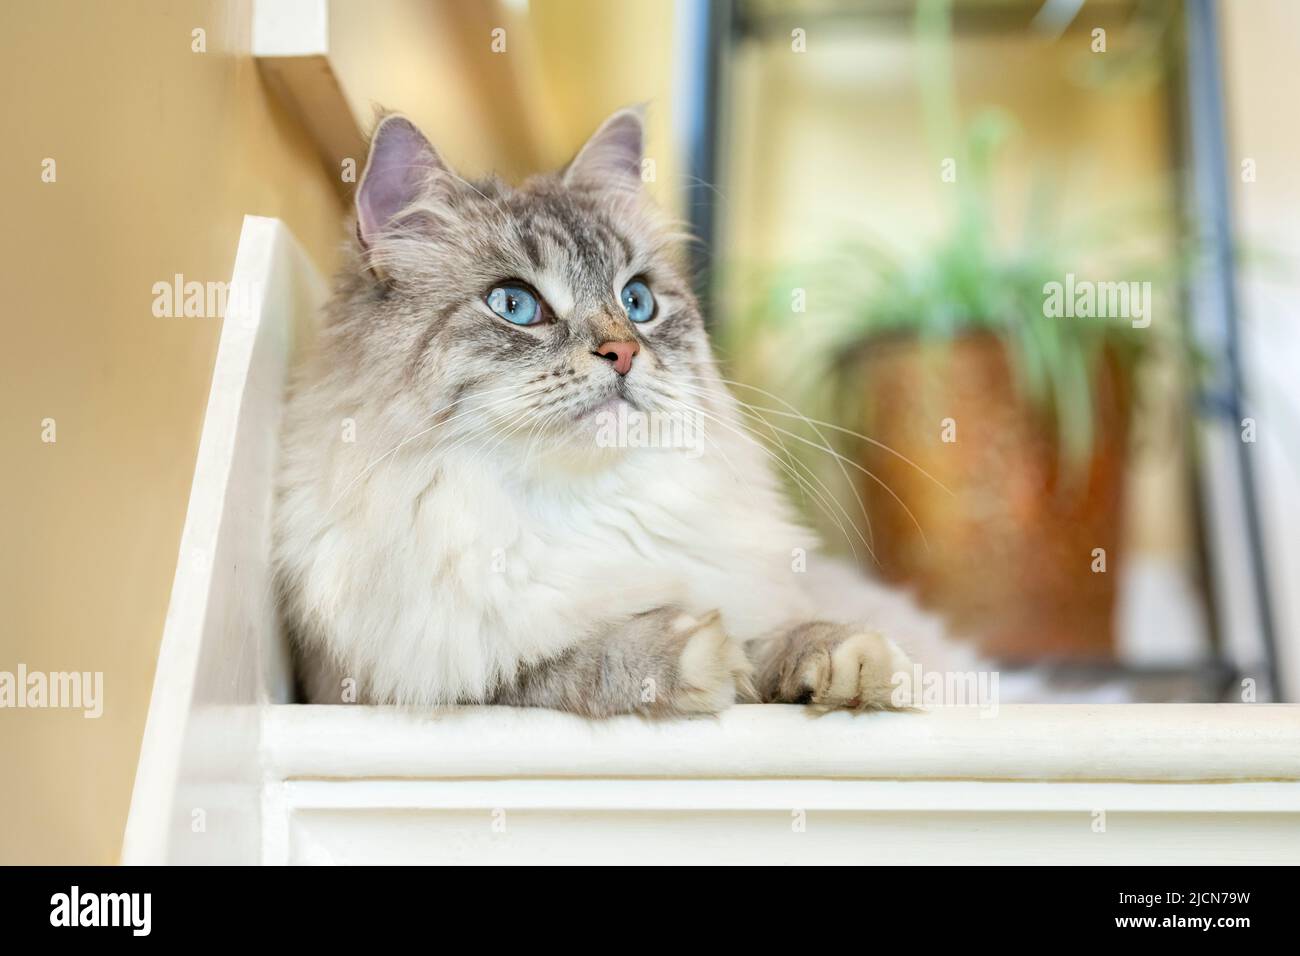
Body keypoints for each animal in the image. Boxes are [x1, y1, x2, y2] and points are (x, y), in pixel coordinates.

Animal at [269, 108, 972, 712]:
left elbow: (786, 636)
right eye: (515, 305)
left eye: (637, 302)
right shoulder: (400, 681)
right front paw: (696, 652)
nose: (624, 351)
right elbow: (566, 660)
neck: (573, 512)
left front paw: (849, 664)